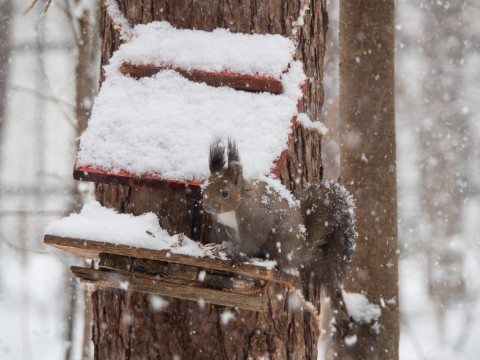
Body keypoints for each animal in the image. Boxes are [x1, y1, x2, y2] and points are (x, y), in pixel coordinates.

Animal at [202, 139, 356, 338]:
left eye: (224, 193)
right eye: (205, 185)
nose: (206, 205)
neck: (237, 205)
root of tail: (302, 249)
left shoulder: (255, 222)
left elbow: (251, 242)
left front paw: (238, 258)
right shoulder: (222, 226)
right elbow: (223, 238)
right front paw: (219, 247)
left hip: (280, 243)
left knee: (280, 262)